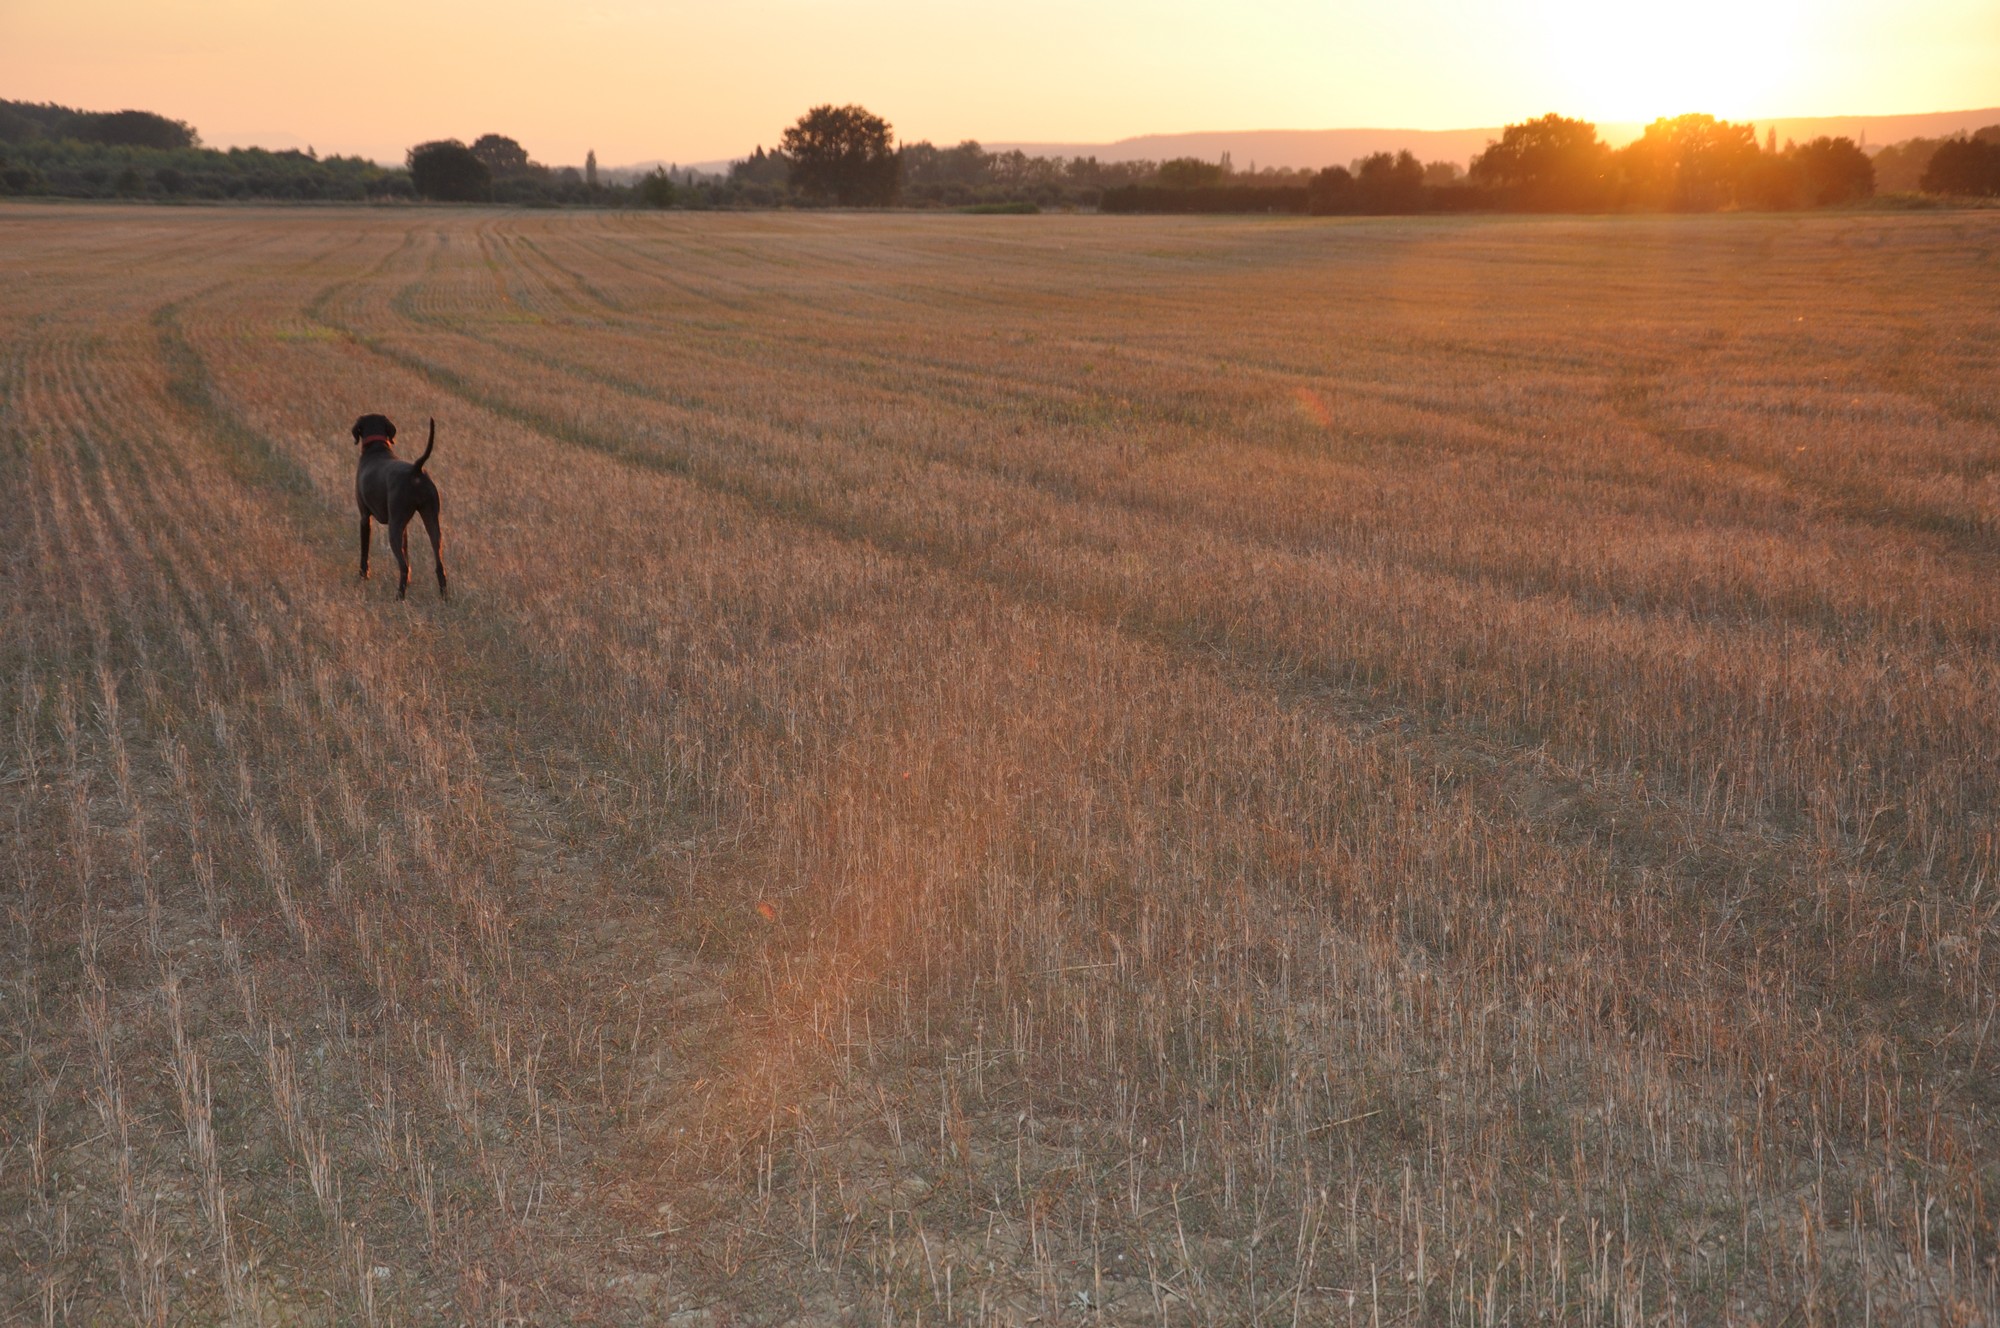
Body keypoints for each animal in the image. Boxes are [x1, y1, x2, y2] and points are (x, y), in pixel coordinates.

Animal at [354, 416, 448, 600]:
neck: (377, 448)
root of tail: (416, 469)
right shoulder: (405, 526)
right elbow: (407, 552)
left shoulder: (364, 518)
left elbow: (364, 551)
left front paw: (363, 576)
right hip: (431, 520)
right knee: (439, 566)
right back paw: (445, 598)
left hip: (394, 527)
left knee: (403, 566)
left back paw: (399, 597)